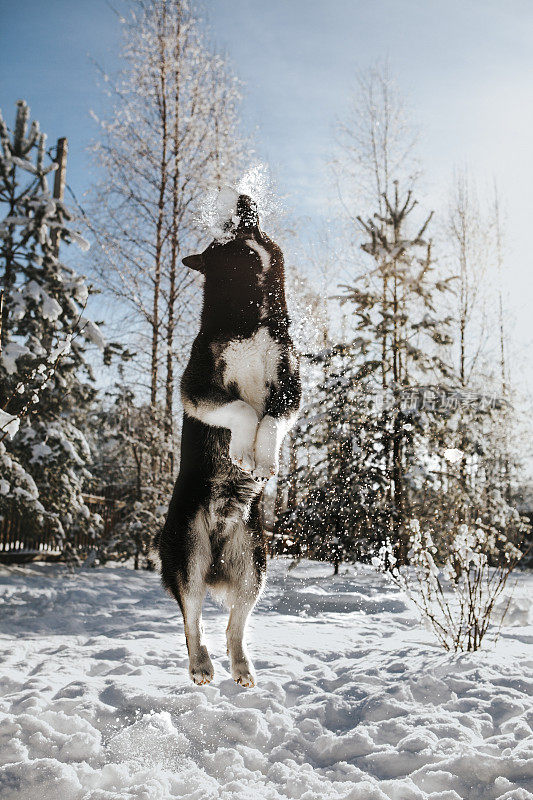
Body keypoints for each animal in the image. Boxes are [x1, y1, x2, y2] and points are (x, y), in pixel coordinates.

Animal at [156, 195, 302, 688]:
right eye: (225, 232)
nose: (243, 197)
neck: (249, 315)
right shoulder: (197, 386)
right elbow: (241, 410)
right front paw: (241, 450)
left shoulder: (290, 386)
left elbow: (270, 419)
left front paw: (263, 455)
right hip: (188, 554)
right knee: (192, 620)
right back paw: (200, 664)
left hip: (253, 566)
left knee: (234, 626)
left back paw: (241, 665)